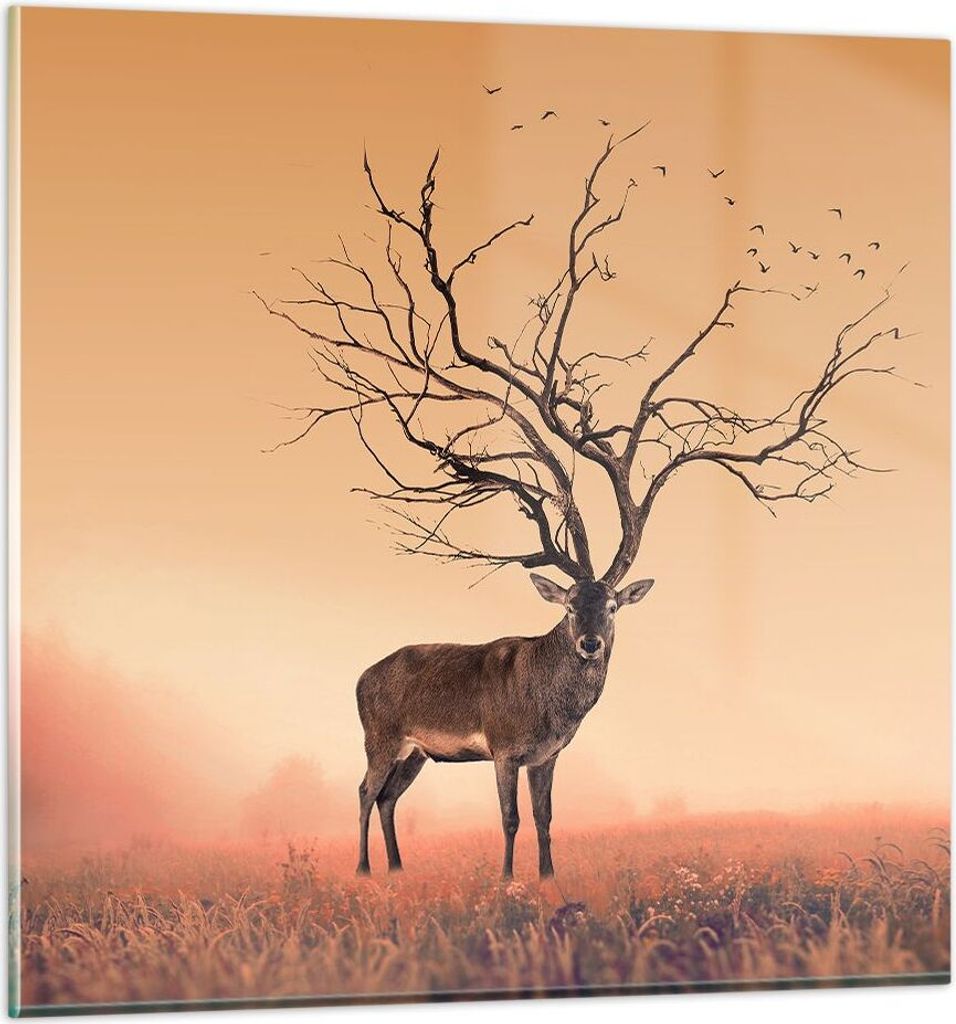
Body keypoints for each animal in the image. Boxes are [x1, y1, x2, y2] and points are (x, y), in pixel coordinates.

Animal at [356, 573, 654, 878]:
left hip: (415, 753)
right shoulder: (503, 749)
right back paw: (363, 868)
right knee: (366, 791)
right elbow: (510, 817)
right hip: (379, 738)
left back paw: (396, 867)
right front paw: (506, 877)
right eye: (570, 607)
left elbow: (543, 817)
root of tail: (361, 679)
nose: (591, 644)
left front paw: (547, 875)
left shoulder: (546, 756)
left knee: (387, 797)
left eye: (612, 607)